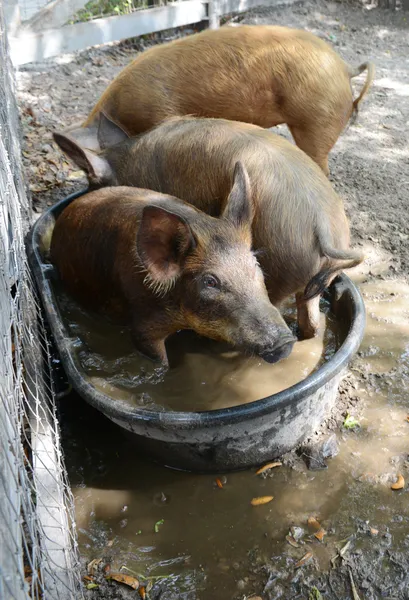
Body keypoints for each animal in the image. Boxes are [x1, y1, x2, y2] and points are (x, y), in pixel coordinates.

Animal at [54, 113, 364, 338]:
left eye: (93, 182)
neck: (125, 163)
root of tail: (323, 225)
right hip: (315, 279)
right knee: (310, 321)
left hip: (276, 272)